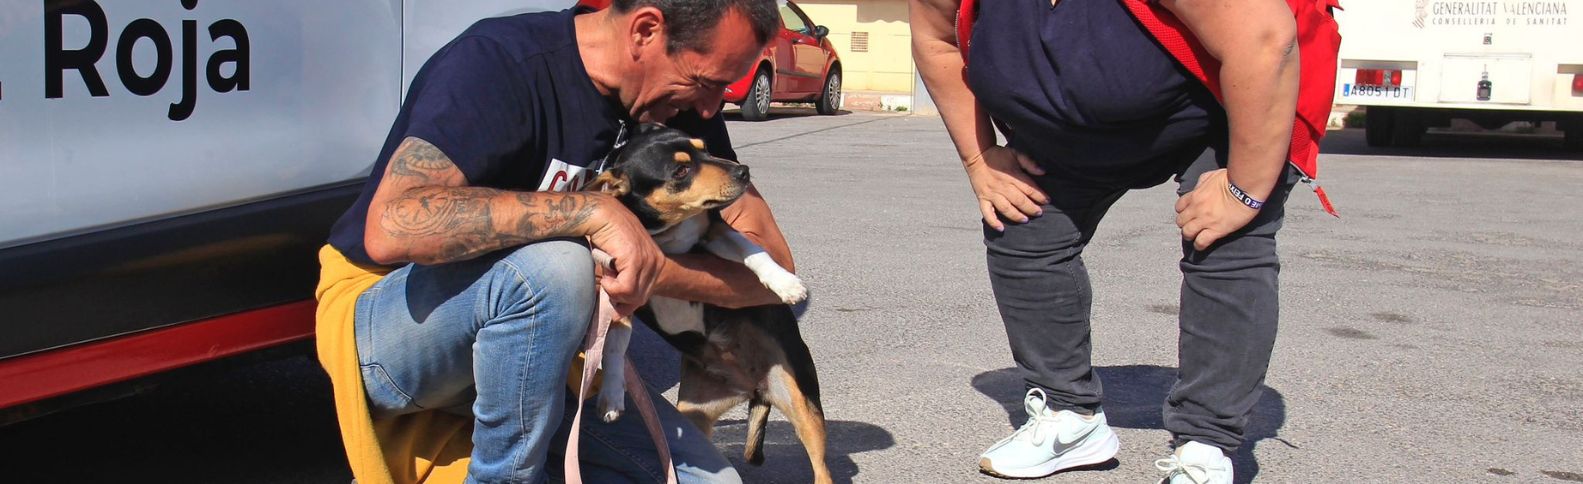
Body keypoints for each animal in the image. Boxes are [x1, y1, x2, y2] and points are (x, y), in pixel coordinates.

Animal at [579, 124, 829, 484]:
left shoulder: (716, 232)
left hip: (802, 400)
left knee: (821, 466)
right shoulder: (619, 288)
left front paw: (785, 283)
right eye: (681, 171)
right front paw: (611, 395)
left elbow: (755, 251)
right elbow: (614, 343)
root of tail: (753, 388)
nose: (743, 171)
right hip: (694, 413)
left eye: (705, 148)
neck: (663, 236)